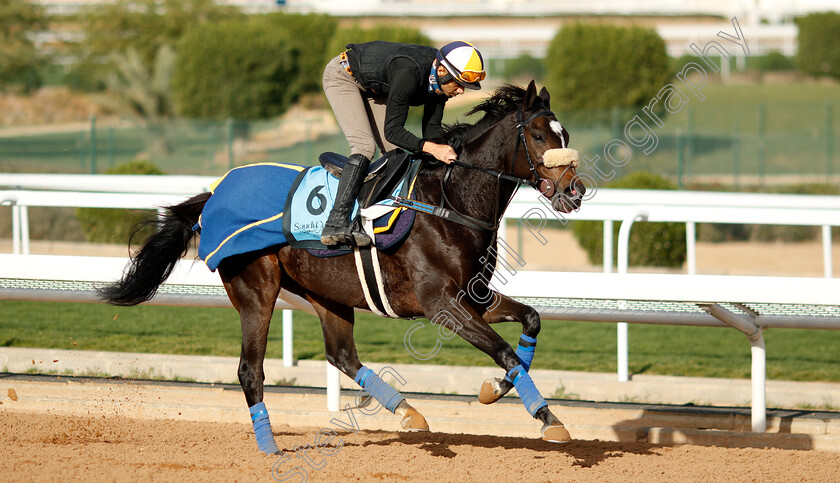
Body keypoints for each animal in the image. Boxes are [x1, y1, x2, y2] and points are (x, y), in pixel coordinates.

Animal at [100, 81, 584, 456]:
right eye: (538, 135)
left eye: (564, 134)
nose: (574, 190)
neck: (450, 202)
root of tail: (215, 195)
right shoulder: (441, 303)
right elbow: (504, 352)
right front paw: (546, 418)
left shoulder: (473, 296)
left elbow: (531, 321)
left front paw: (499, 391)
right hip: (256, 289)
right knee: (250, 370)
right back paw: (269, 446)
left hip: (327, 292)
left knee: (342, 354)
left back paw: (409, 412)